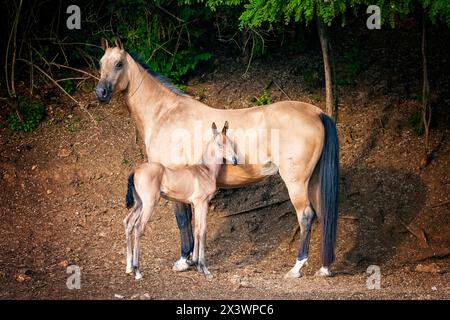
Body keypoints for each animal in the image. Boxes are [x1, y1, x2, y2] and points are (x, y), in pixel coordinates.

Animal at [123, 121, 236, 278]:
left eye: (230, 142)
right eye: (220, 144)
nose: (235, 160)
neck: (205, 171)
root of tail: (135, 171)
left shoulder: (196, 204)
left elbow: (197, 228)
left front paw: (196, 264)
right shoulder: (202, 203)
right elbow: (202, 231)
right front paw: (204, 268)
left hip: (139, 203)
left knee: (128, 222)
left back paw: (128, 267)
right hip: (149, 203)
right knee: (139, 226)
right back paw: (137, 270)